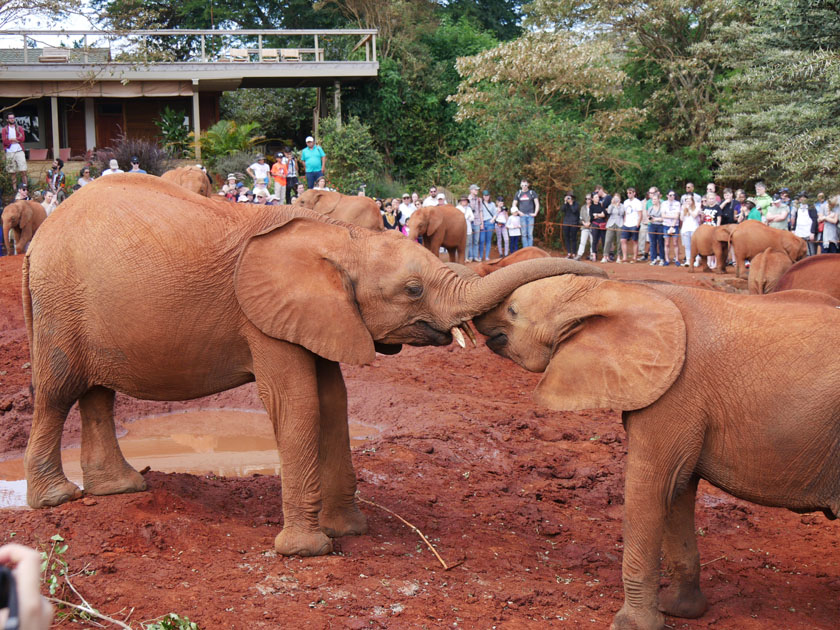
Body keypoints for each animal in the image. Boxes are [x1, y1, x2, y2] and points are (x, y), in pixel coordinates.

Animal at [23, 173, 604, 556]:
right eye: (413, 290)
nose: (594, 272)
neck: (337, 240)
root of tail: (40, 235)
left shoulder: (323, 315)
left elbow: (333, 399)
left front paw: (349, 530)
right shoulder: (264, 318)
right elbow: (297, 401)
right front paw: (307, 550)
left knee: (97, 393)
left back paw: (120, 490)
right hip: (57, 300)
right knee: (57, 391)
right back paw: (57, 499)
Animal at [476, 278, 840, 630]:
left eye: (513, 310)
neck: (623, 290)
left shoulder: (675, 395)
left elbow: (652, 490)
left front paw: (630, 625)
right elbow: (677, 492)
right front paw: (680, 610)